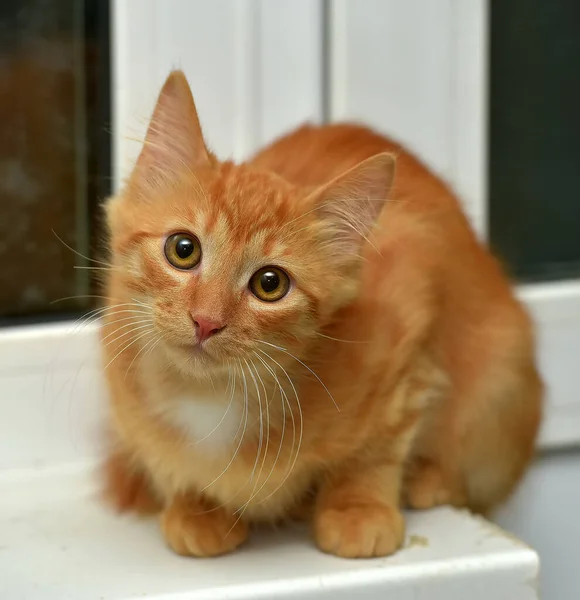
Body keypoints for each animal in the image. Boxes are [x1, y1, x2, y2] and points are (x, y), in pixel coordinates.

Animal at [101, 70, 544, 556]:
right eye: (183, 250)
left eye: (269, 284)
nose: (206, 321)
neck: (210, 395)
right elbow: (164, 461)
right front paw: (193, 505)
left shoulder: (405, 348)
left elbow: (373, 451)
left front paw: (358, 509)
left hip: (500, 381)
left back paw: (429, 480)